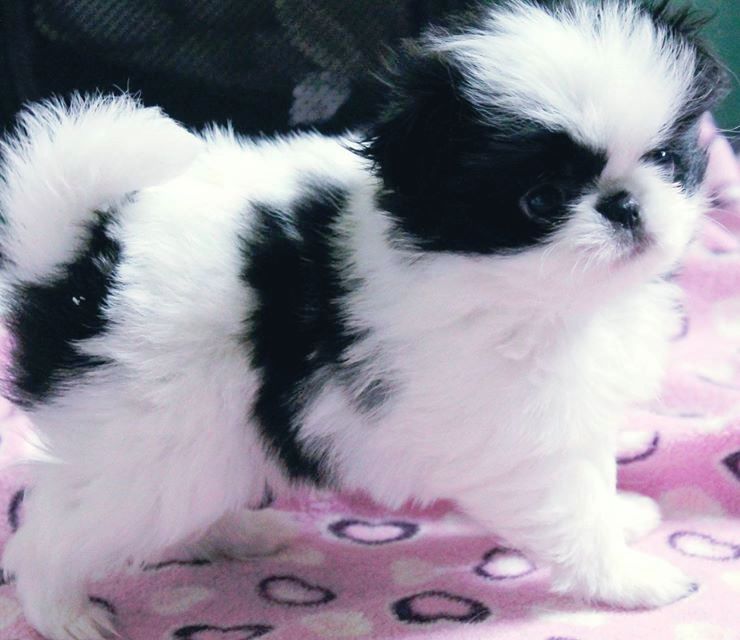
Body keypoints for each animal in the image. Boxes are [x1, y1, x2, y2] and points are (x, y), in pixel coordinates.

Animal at [0, 1, 729, 638]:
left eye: (667, 158)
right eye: (541, 199)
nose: (624, 203)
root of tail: (85, 261)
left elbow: (596, 477)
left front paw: (624, 516)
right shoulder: (518, 436)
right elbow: (573, 511)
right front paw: (632, 579)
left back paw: (234, 534)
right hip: (145, 436)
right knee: (57, 529)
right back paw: (60, 611)